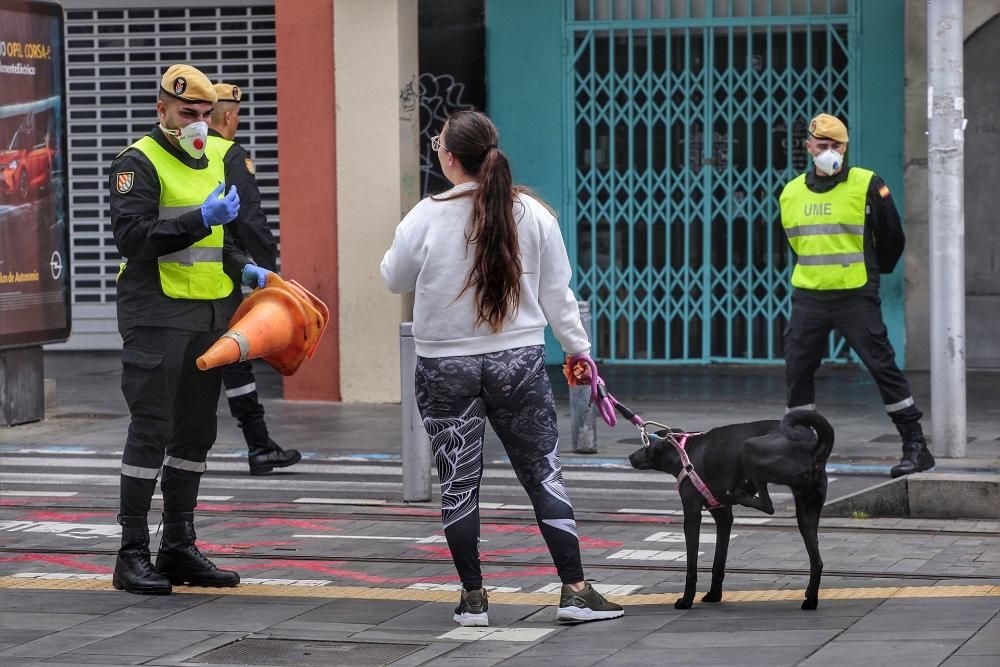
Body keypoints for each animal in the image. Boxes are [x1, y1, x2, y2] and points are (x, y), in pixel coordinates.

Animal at [632, 414, 836, 612]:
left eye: (645, 444)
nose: (630, 456)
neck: (683, 450)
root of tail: (811, 443)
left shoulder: (691, 513)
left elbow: (691, 565)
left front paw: (687, 600)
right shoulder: (722, 516)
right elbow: (718, 561)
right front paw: (714, 595)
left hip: (750, 448)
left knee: (767, 504)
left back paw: (740, 493)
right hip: (807, 509)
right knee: (817, 562)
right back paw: (811, 599)